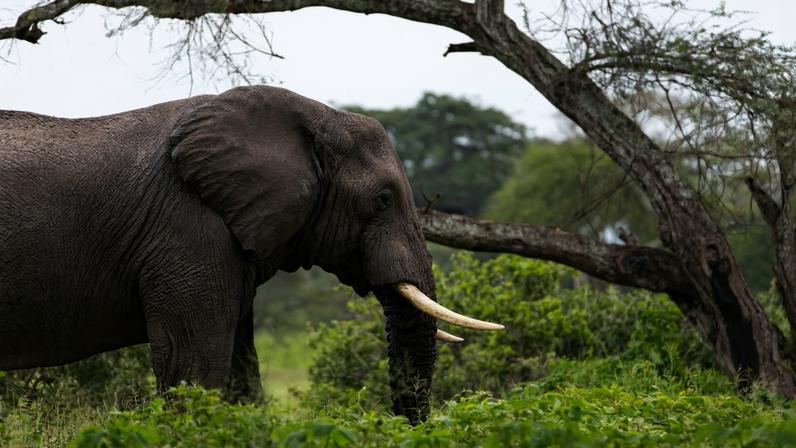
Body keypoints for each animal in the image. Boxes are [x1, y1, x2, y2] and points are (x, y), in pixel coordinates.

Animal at [0, 86, 502, 423]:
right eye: (381, 200)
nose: (410, 426)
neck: (311, 117)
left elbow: (241, 372)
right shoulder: (189, 229)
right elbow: (195, 365)